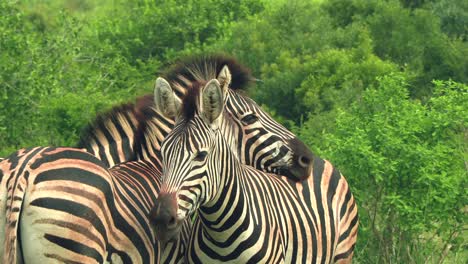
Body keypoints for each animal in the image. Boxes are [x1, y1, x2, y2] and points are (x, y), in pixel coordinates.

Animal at [150, 78, 358, 262]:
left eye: (201, 155)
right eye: (162, 154)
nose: (161, 220)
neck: (221, 233)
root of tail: (322, 161)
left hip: (343, 253)